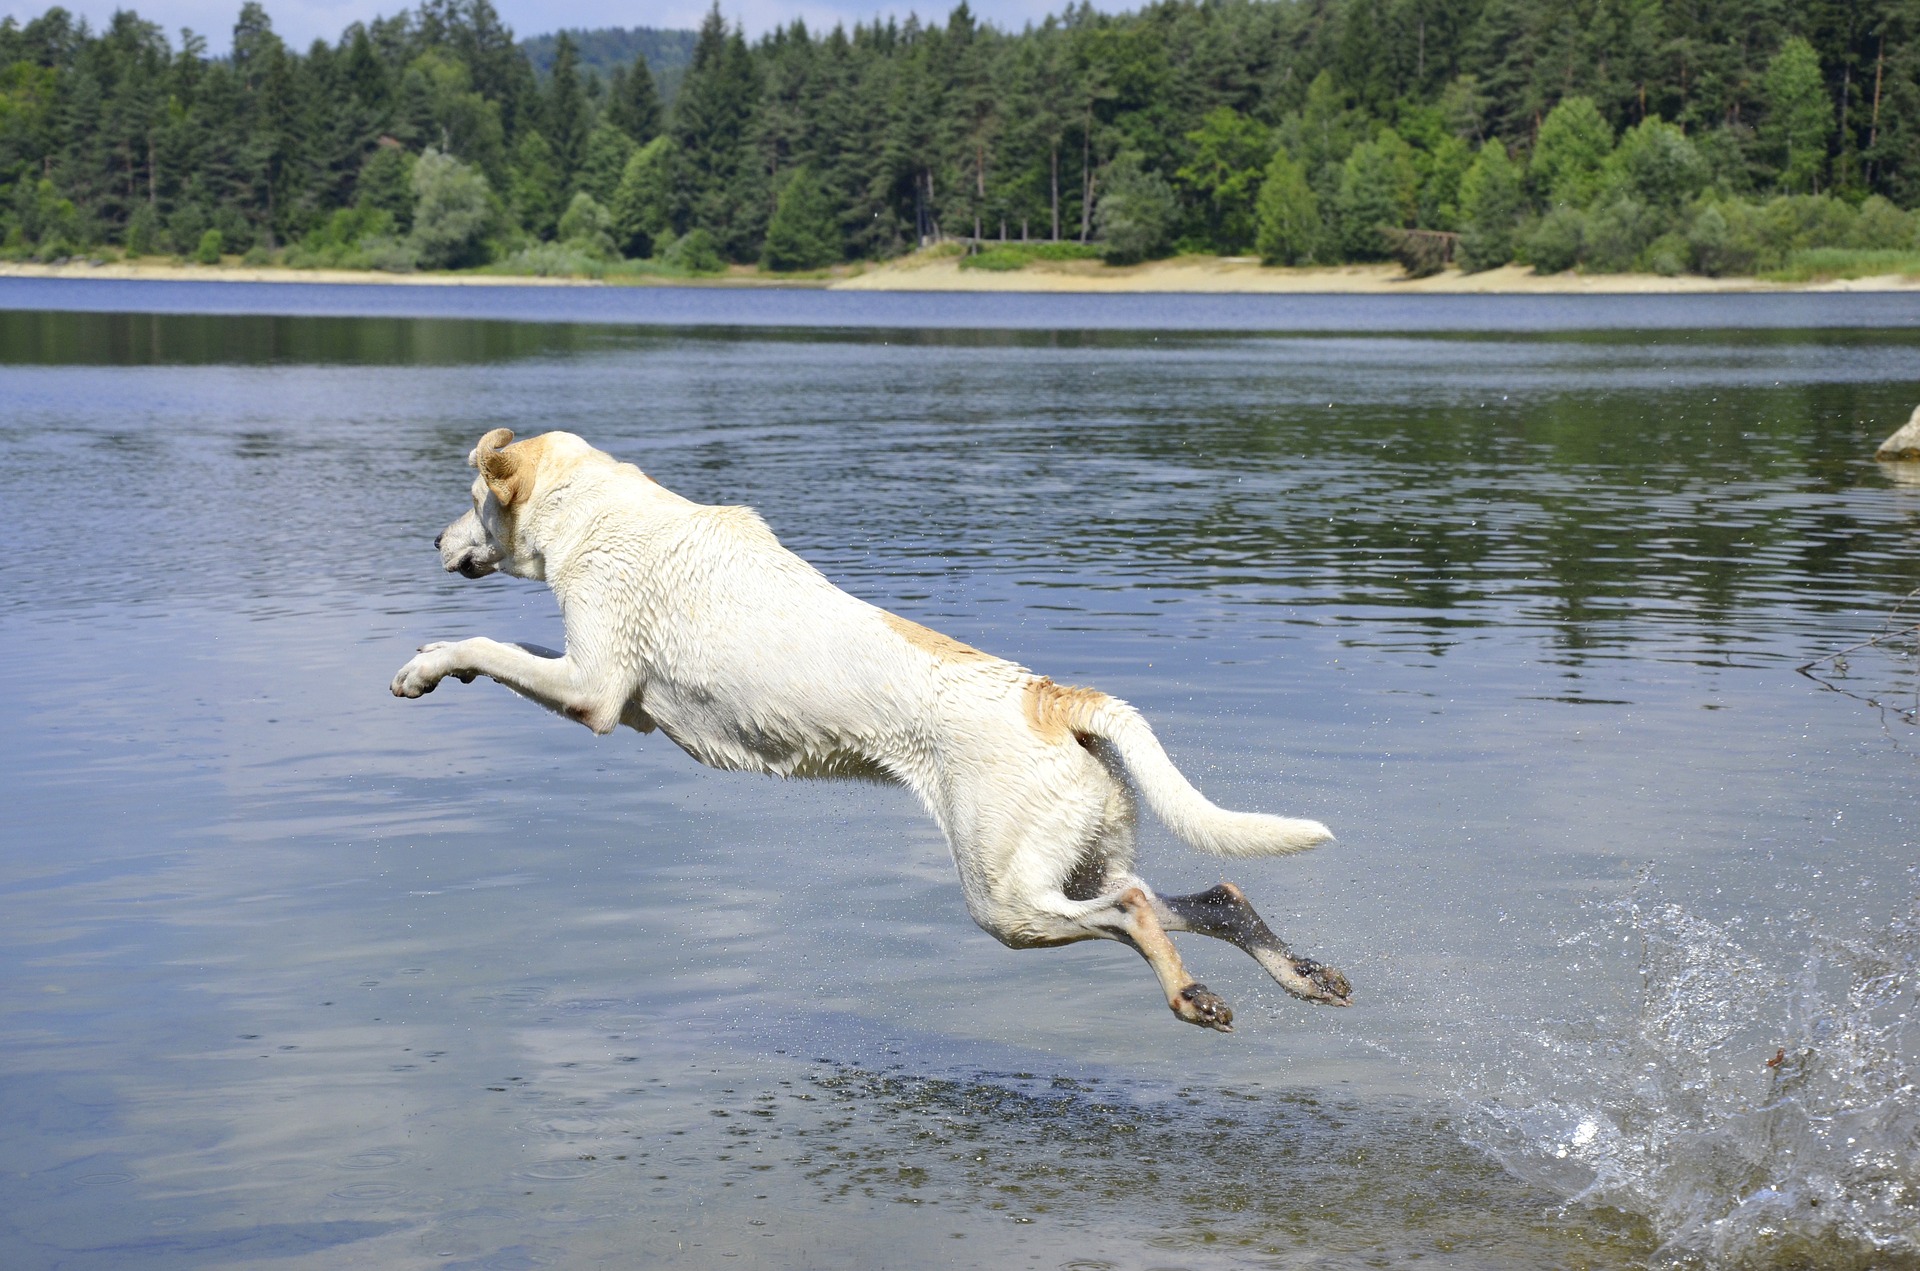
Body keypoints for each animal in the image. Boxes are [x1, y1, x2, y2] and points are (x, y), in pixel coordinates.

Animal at [389, 433, 1351, 1029]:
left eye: (473, 498)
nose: (432, 538)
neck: (593, 509)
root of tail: (1053, 696)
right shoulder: (608, 693)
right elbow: (507, 647)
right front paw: (442, 661)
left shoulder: (593, 693)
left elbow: (492, 643)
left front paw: (428, 664)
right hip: (1076, 860)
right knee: (1213, 896)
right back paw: (1302, 975)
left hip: (1006, 899)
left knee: (1141, 911)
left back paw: (1193, 997)